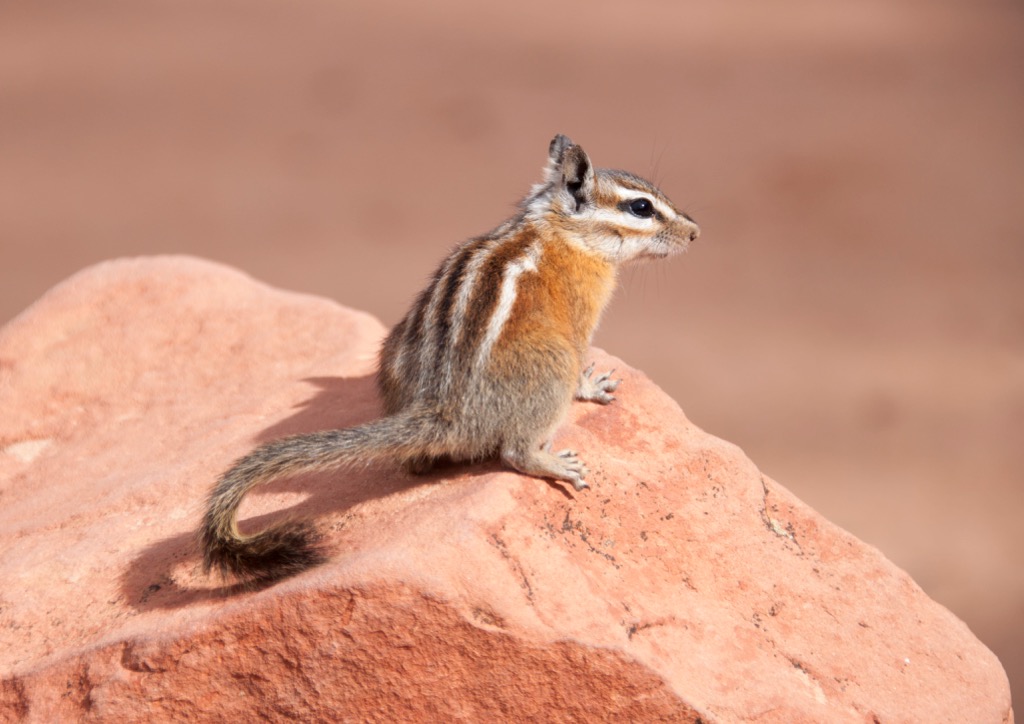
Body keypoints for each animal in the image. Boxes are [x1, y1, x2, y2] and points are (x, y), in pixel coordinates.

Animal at [200, 134, 700, 584]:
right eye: (641, 208)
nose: (696, 232)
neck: (559, 228)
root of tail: (446, 411)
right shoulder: (580, 321)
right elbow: (581, 363)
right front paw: (594, 387)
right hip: (550, 369)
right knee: (515, 452)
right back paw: (554, 464)